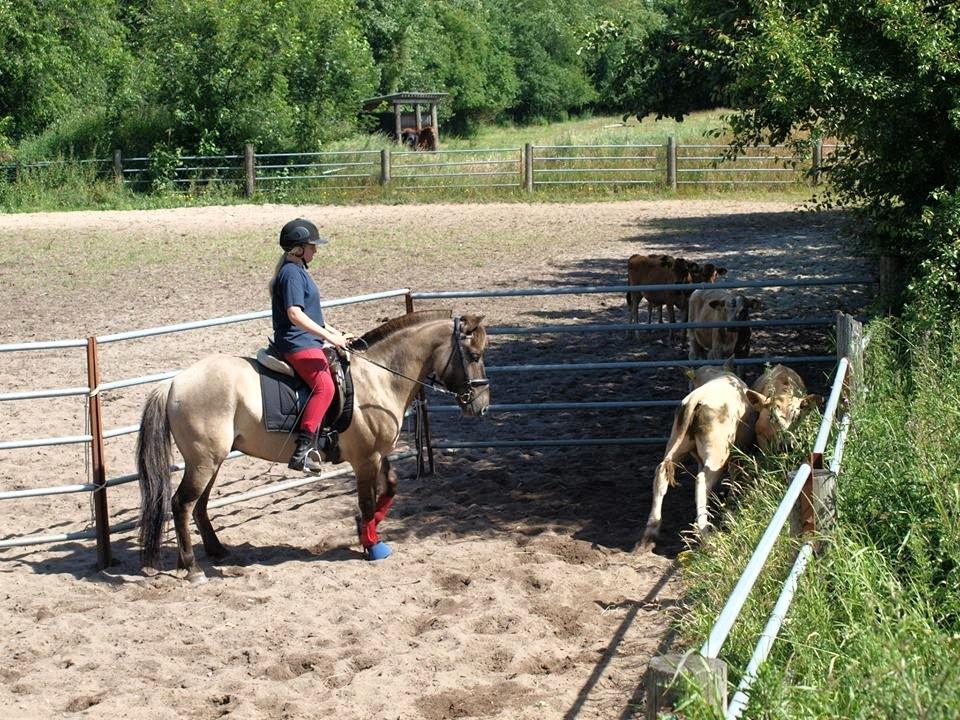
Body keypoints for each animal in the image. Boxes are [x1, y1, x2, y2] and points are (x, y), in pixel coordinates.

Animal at [135, 310, 488, 580]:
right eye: (474, 355)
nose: (481, 405)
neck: (378, 379)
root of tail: (174, 383)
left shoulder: (377, 454)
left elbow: (389, 488)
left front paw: (364, 531)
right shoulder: (364, 459)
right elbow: (367, 501)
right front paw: (371, 545)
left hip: (212, 460)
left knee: (200, 505)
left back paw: (216, 551)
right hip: (204, 460)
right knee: (182, 504)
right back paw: (193, 568)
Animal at [640, 372, 760, 544]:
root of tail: (697, 398)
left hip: (678, 444)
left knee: (661, 472)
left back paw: (652, 530)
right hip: (717, 454)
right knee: (702, 480)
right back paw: (705, 534)